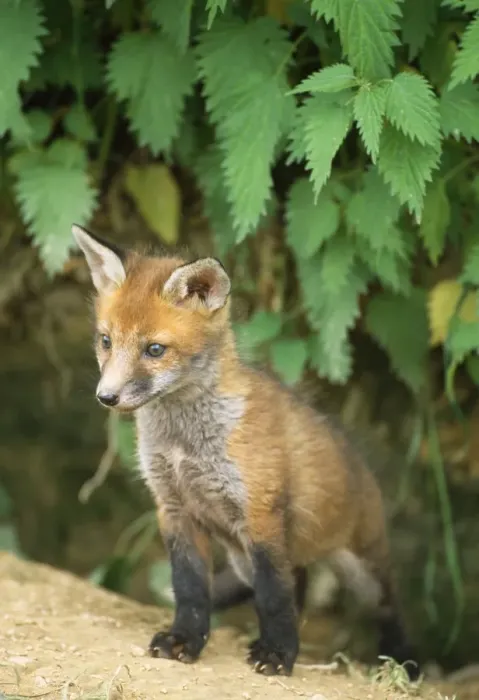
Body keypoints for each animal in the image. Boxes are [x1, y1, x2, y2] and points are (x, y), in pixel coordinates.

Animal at [72, 223, 420, 679]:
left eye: (154, 350)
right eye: (106, 341)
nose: (106, 397)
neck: (185, 444)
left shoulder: (260, 512)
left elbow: (273, 597)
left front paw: (277, 655)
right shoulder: (174, 508)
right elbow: (190, 589)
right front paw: (185, 639)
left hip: (362, 569)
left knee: (387, 606)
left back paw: (404, 661)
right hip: (243, 556)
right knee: (296, 585)